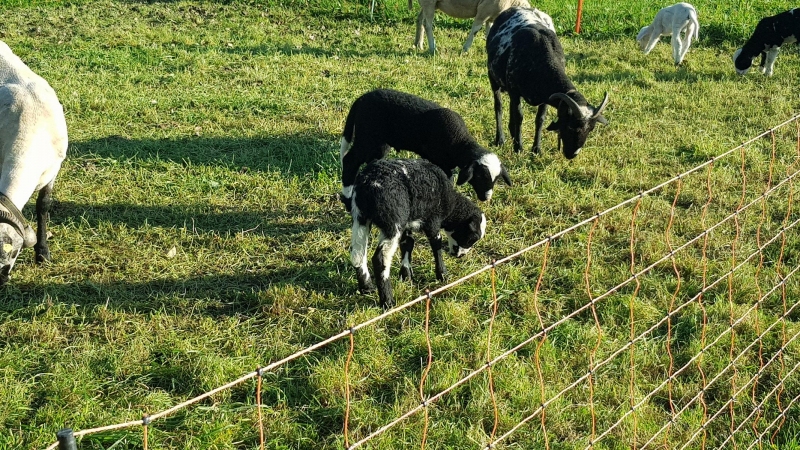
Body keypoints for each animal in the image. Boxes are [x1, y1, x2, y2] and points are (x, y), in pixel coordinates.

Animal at [339, 88, 511, 210]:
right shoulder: (440, 162)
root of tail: (361, 99)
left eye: (497, 179)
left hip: (379, 144)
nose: (487, 198)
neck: (460, 143)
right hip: (366, 138)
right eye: (480, 176)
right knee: (350, 161)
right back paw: (348, 200)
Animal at [350, 158, 486, 308]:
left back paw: (367, 288)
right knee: (380, 259)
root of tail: (368, 182)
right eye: (471, 239)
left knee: (357, 252)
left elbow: (408, 244)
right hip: (393, 220)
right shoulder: (432, 220)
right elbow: (436, 243)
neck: (449, 207)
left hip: (361, 216)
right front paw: (442, 274)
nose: (460, 256)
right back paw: (387, 302)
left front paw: (406, 275)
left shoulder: (407, 223)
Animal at [410, 0, 542, 54]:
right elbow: (475, 30)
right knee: (427, 24)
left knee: (420, 19)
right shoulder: (484, 11)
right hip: (429, 2)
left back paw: (418, 44)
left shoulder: (491, 16)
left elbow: (490, 32)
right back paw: (432, 48)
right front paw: (465, 49)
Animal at [486, 7, 609, 157]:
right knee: (498, 106)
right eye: (570, 126)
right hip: (492, 77)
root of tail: (512, 9)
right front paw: (518, 148)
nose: (572, 154)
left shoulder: (545, 97)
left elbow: (540, 119)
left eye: (591, 129)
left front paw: (536, 149)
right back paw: (500, 139)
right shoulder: (515, 90)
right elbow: (519, 117)